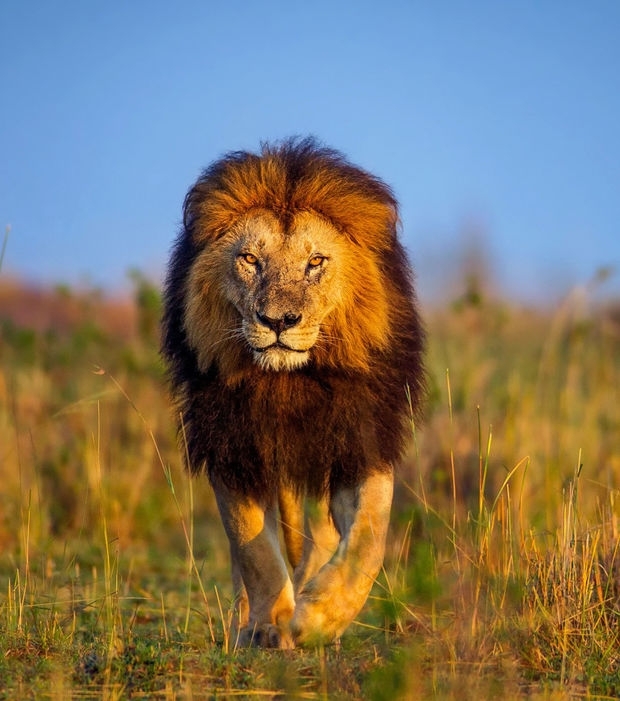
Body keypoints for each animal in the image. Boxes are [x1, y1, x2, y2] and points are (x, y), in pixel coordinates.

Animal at [161, 137, 426, 648]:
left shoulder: (358, 441)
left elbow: (368, 538)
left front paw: (318, 618)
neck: (289, 383)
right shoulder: (233, 444)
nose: (278, 321)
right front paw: (269, 624)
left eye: (315, 262)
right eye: (250, 259)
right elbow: (254, 549)